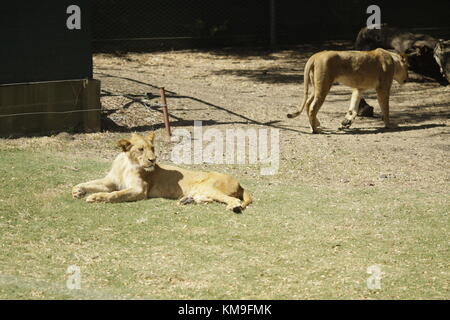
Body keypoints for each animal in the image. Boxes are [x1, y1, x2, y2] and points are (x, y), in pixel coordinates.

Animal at [72, 132, 251, 212]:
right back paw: (186, 201)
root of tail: (240, 183)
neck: (127, 164)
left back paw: (233, 206)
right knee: (206, 198)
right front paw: (78, 190)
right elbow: (92, 183)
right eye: (141, 149)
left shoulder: (140, 190)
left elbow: (115, 194)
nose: (153, 159)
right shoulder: (111, 181)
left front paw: (96, 197)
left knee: (231, 200)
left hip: (208, 186)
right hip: (201, 190)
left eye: (152, 148)